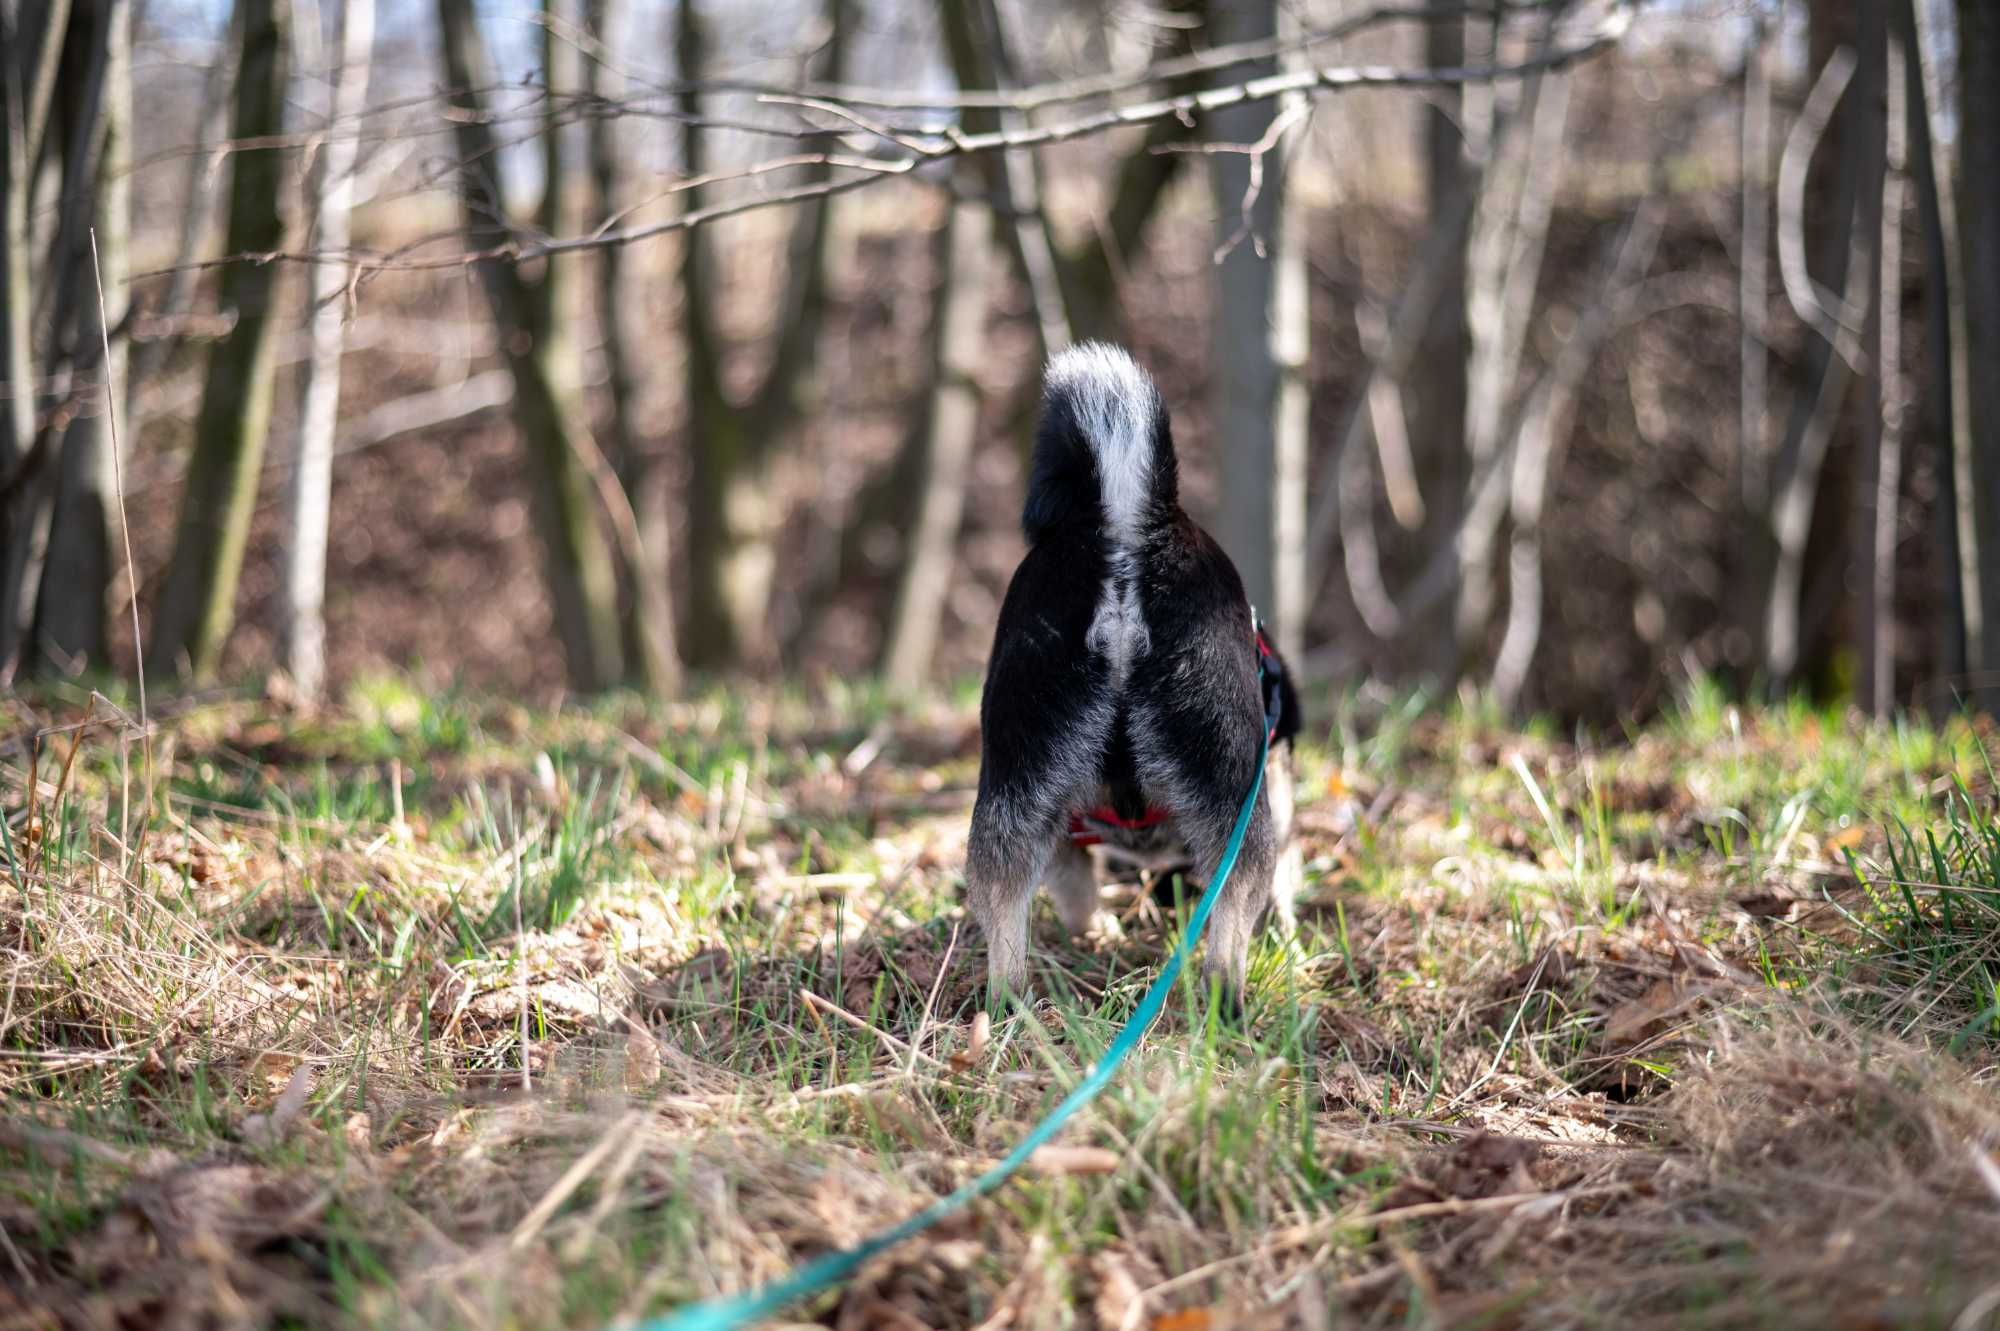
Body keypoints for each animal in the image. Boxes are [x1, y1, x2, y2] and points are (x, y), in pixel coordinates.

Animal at [964, 341, 1304, 1007]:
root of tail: (1126, 534)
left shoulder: (1063, 835)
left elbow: (1074, 894)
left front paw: (1094, 935)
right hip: (1236, 791)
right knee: (1232, 915)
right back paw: (1227, 1004)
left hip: (1015, 786)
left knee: (1003, 907)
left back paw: (1010, 1006)